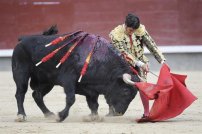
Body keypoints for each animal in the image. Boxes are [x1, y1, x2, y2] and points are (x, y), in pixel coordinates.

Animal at [11, 29, 140, 121]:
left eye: (134, 95)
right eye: (125, 91)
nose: (119, 113)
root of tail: (22, 40)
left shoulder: (91, 88)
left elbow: (94, 104)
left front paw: (93, 117)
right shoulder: (69, 80)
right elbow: (71, 99)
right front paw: (61, 116)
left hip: (47, 81)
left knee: (37, 95)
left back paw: (48, 114)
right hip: (21, 73)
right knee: (20, 93)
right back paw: (21, 115)